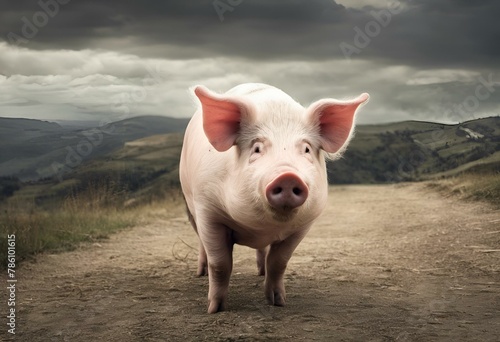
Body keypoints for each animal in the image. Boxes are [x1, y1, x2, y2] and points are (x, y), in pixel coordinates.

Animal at [179, 83, 368, 312]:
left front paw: (278, 302)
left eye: (306, 149)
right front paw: (215, 309)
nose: (288, 177)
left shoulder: (303, 225)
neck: (262, 228)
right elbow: (220, 264)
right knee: (201, 243)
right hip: (189, 205)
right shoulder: (208, 210)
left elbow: (279, 262)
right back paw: (201, 272)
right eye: (257, 148)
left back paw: (260, 272)